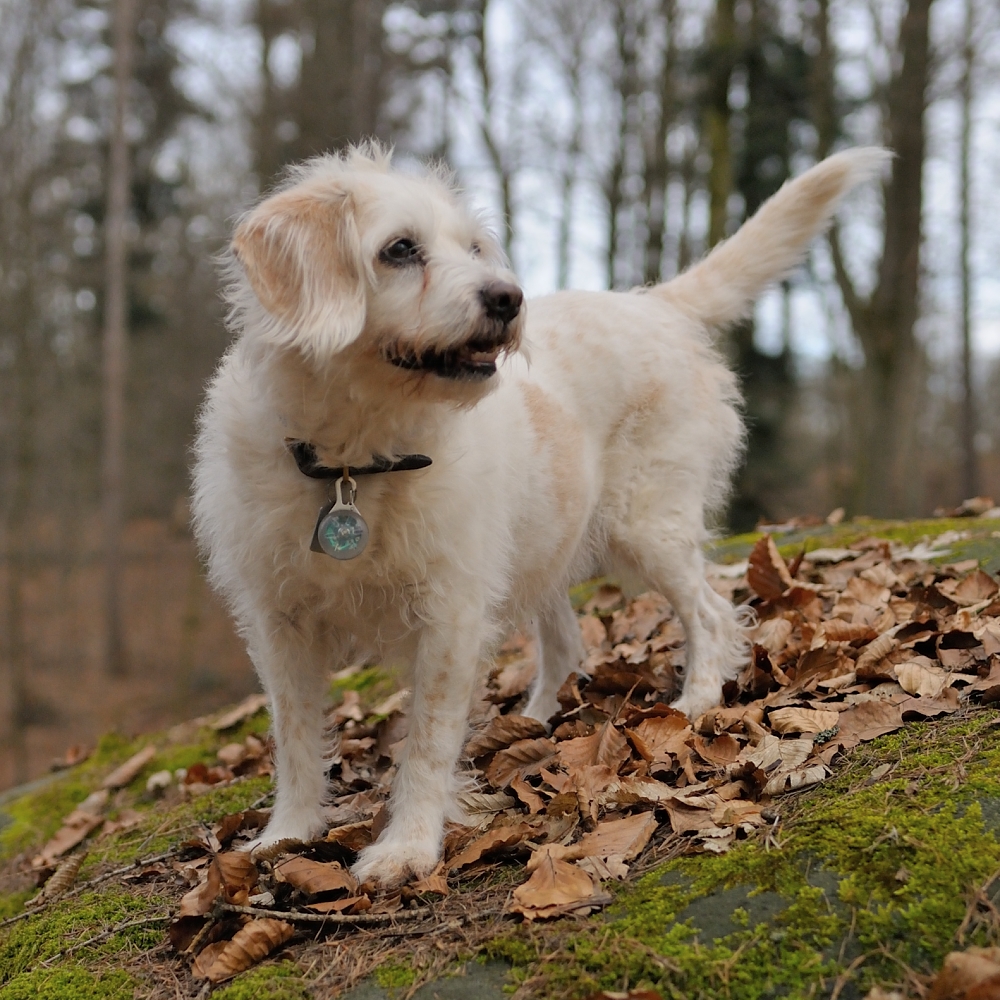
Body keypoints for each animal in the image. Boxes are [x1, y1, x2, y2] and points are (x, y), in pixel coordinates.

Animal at [191, 143, 888, 884]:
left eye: (474, 247)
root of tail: (655, 305)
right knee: (567, 645)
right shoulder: (281, 626)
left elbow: (427, 744)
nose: (507, 297)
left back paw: (696, 700)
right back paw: (536, 721)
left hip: (648, 529)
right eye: (400, 249)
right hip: (545, 551)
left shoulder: (450, 615)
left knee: (711, 612)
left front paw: (408, 846)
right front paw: (286, 835)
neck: (355, 461)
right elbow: (294, 741)